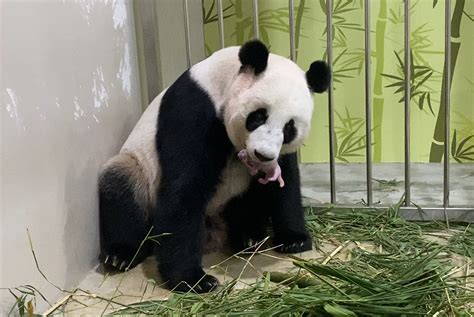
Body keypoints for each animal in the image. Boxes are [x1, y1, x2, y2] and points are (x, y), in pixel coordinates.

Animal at [99, 39, 330, 292]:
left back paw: (249, 235)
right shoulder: (193, 110)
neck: (222, 81)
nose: (263, 155)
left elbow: (285, 182)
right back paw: (121, 254)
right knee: (122, 187)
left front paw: (294, 239)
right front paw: (193, 280)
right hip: (138, 169)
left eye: (289, 128)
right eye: (259, 116)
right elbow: (185, 187)